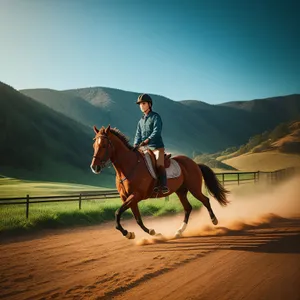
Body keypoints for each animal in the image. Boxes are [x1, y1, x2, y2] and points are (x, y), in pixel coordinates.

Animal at [89, 124, 230, 239]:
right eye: (94, 146)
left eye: (104, 145)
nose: (94, 167)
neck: (129, 166)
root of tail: (194, 163)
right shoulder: (127, 198)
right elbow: (137, 219)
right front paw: (152, 233)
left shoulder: (136, 196)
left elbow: (118, 212)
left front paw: (127, 233)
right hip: (181, 191)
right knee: (188, 208)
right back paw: (179, 231)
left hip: (194, 188)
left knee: (205, 200)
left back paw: (214, 220)